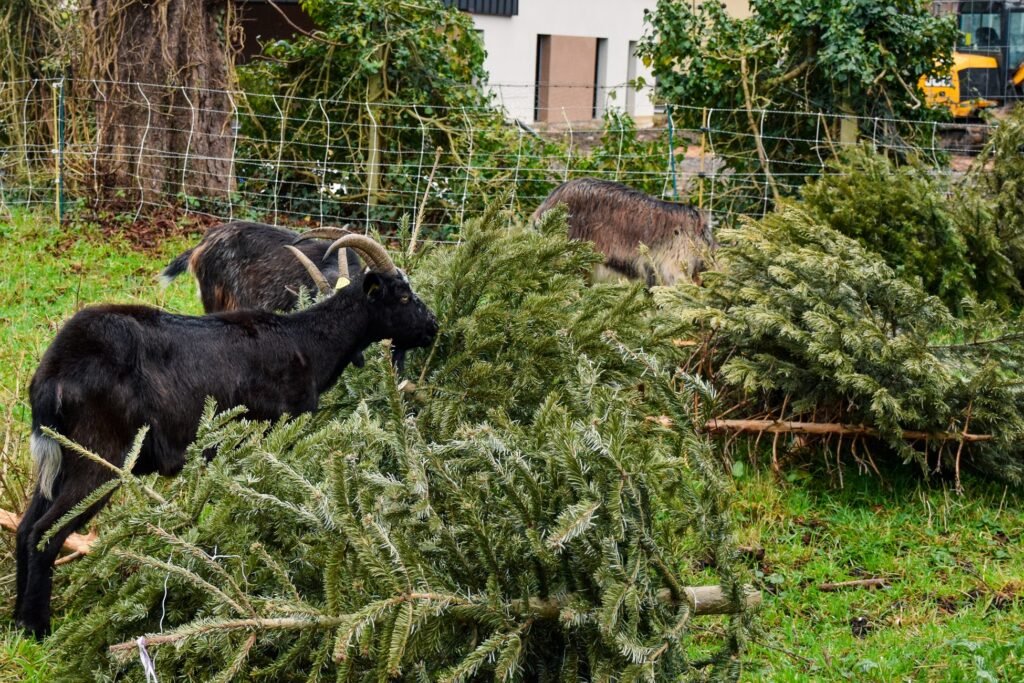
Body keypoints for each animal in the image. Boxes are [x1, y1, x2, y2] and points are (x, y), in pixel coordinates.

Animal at [16, 235, 438, 643]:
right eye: (402, 296)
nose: (433, 327)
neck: (305, 342)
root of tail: (52, 374)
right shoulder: (272, 430)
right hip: (100, 455)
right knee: (45, 533)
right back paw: (38, 629)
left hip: (61, 459)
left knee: (24, 528)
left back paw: (17, 625)